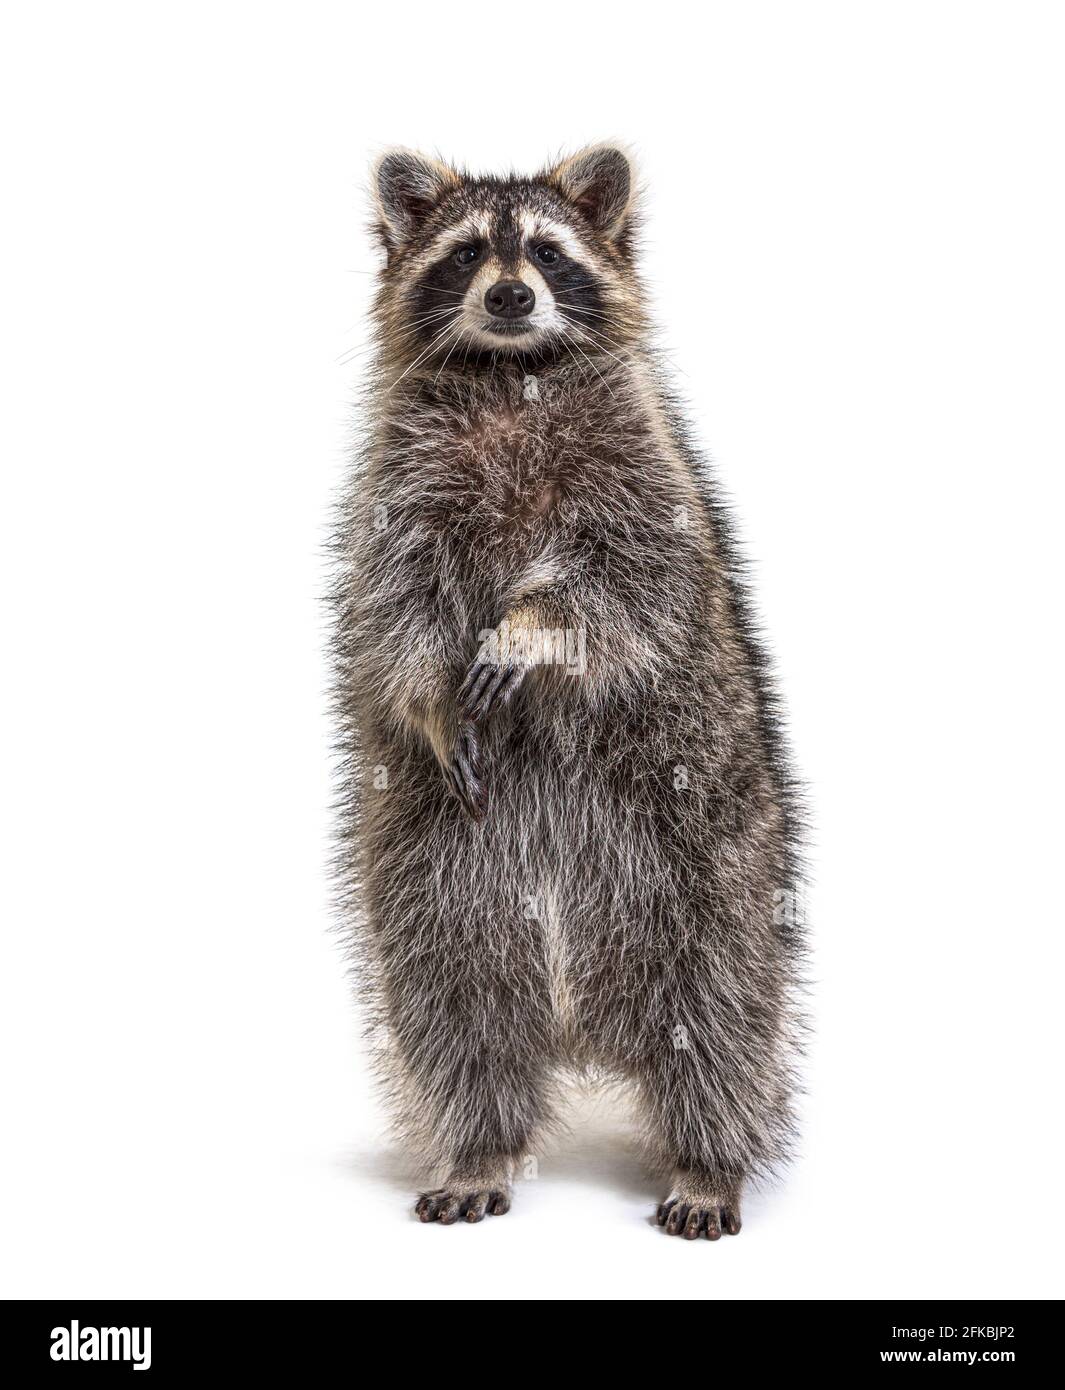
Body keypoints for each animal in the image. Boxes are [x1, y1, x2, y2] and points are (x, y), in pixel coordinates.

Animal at [330, 146, 800, 1245]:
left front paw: (529, 625)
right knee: (453, 1008)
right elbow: (395, 615)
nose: (510, 296)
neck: (511, 374)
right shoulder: (395, 488)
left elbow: (626, 581)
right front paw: (431, 702)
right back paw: (478, 1142)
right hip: (430, 865)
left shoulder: (644, 471)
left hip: (710, 861)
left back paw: (708, 1157)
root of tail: (580, 1023)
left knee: (722, 1010)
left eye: (546, 251)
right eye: (468, 253)